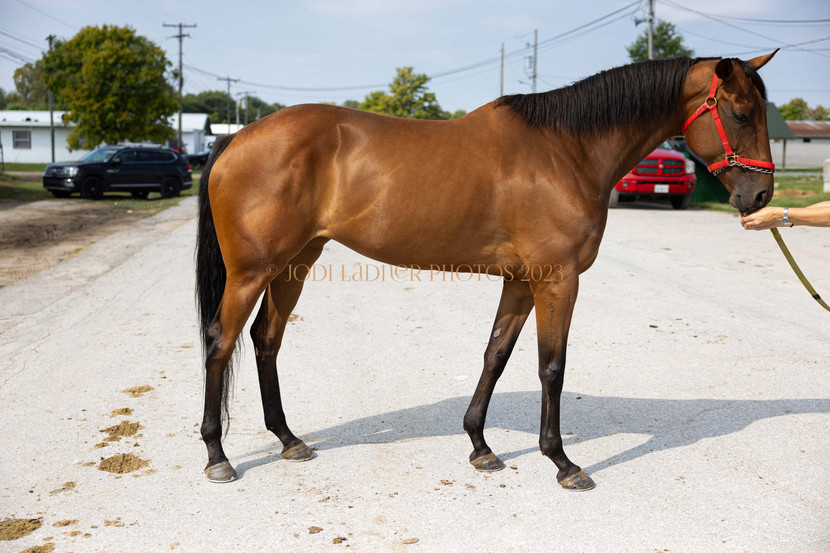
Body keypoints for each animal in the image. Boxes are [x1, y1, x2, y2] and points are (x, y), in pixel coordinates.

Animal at [195, 51, 778, 490]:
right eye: (740, 114)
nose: (760, 196)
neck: (566, 151)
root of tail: (238, 137)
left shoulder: (520, 282)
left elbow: (495, 356)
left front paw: (479, 446)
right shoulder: (557, 279)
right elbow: (551, 367)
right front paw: (562, 462)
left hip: (296, 263)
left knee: (266, 339)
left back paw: (289, 440)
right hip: (252, 271)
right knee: (221, 342)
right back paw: (218, 457)